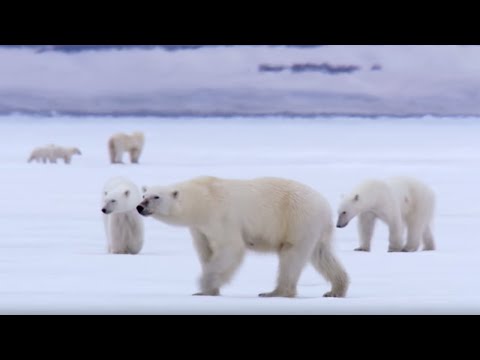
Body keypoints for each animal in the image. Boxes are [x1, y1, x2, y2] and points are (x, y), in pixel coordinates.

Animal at [137, 176, 350, 298]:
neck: (202, 199)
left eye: (156, 196)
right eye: (144, 195)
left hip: (298, 218)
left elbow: (230, 247)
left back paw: (275, 292)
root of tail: (325, 205)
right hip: (314, 227)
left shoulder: (221, 216)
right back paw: (335, 289)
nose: (140, 207)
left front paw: (205, 285)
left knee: (291, 255)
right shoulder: (199, 228)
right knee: (321, 254)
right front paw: (207, 290)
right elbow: (206, 252)